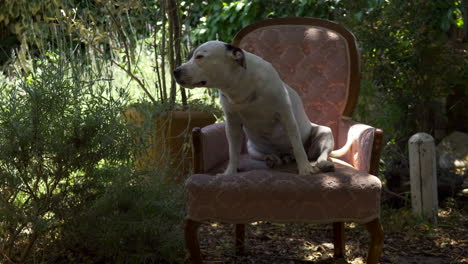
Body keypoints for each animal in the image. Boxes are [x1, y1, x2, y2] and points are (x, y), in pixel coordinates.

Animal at [176, 40, 340, 175]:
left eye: (200, 57)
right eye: (190, 57)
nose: (175, 71)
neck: (240, 84)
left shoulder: (286, 117)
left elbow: (297, 145)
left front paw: (305, 169)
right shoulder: (232, 125)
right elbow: (232, 152)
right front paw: (229, 173)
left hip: (325, 133)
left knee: (320, 154)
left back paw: (322, 163)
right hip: (252, 148)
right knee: (271, 155)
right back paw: (273, 159)